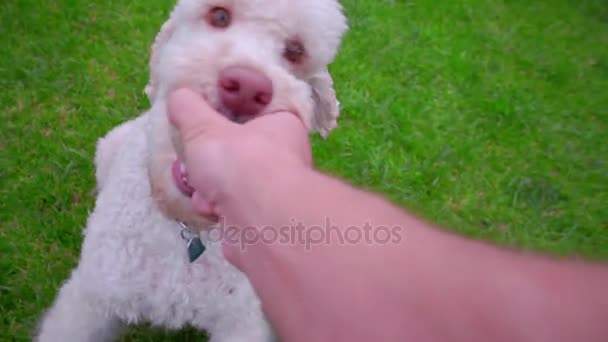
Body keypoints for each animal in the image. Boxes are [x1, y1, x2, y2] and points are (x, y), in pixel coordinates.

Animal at [35, 0, 346, 340]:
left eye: (295, 51)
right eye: (219, 15)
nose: (247, 90)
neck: (186, 227)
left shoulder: (241, 319)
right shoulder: (92, 296)